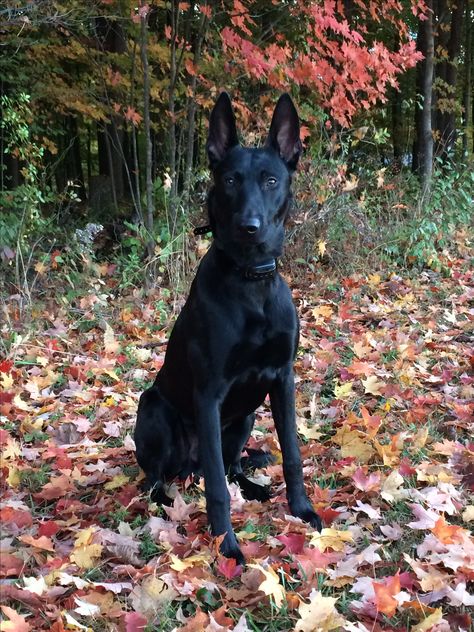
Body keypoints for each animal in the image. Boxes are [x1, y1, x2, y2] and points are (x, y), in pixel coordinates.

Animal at [135, 92, 324, 564]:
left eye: (271, 180)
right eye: (231, 180)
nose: (249, 227)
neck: (250, 281)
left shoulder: (282, 378)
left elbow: (292, 454)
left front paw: (301, 510)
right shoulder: (209, 393)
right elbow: (217, 489)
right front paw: (227, 545)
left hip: (246, 415)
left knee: (231, 466)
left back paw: (254, 487)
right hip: (154, 408)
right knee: (162, 477)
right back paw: (165, 499)